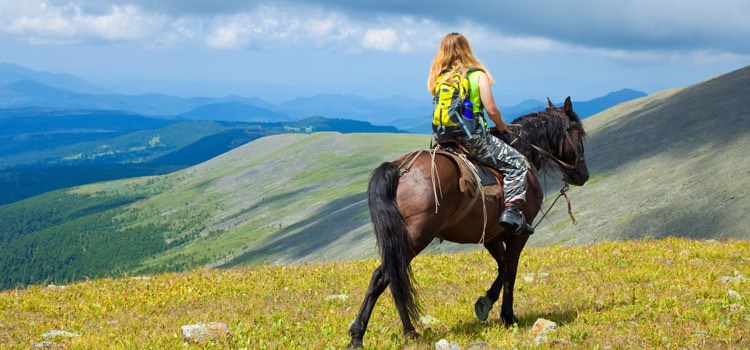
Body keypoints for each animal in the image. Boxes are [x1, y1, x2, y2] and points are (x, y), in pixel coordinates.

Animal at [348, 96, 592, 350]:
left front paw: (486, 302)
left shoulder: (492, 235)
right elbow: (511, 271)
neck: (523, 153)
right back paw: (403, 332)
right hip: (415, 237)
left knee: (388, 277)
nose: (582, 174)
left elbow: (502, 267)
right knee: (387, 275)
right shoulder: (519, 233)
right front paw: (507, 316)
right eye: (578, 134)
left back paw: (363, 335)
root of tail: (399, 169)